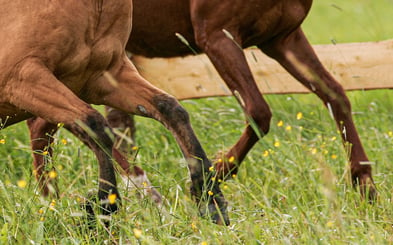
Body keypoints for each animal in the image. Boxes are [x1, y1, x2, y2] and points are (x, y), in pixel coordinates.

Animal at [0, 0, 227, 224]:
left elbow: (171, 109)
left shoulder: (105, 78)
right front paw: (102, 208)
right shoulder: (24, 78)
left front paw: (211, 201)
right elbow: (94, 124)